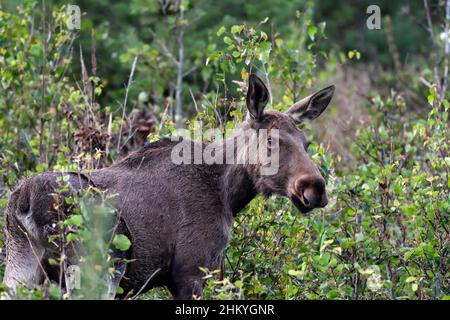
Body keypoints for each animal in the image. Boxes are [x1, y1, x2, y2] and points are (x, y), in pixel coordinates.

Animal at [3, 74, 334, 298]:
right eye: (271, 141)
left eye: (306, 143)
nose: (315, 188)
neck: (228, 194)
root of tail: (23, 202)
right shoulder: (192, 270)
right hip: (99, 263)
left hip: (22, 266)